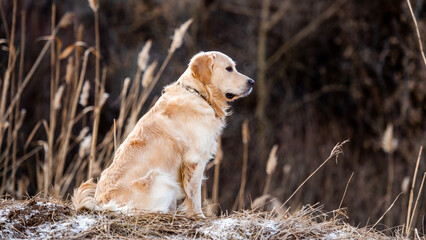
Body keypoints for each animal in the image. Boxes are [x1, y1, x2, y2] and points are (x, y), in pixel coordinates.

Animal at [72, 50, 255, 216]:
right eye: (229, 68)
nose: (252, 82)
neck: (198, 94)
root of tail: (102, 204)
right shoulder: (194, 160)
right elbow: (195, 195)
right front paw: (198, 216)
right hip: (162, 180)